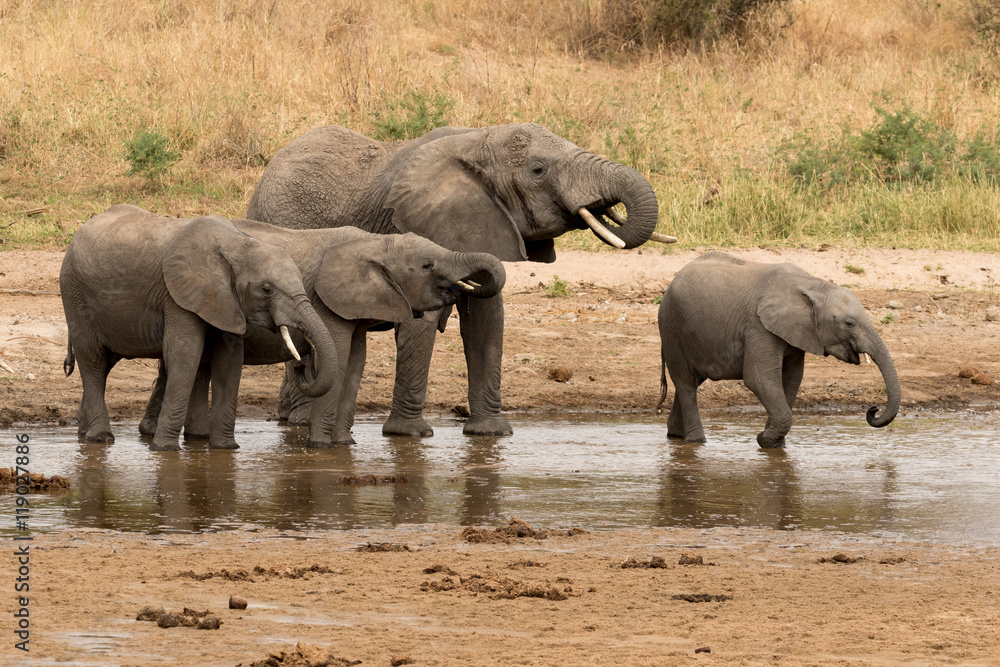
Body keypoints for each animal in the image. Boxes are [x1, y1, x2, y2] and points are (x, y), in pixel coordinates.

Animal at [60, 205, 339, 451]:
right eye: (267, 289)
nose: (302, 367)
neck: (237, 245)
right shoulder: (178, 294)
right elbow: (185, 354)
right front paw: (164, 450)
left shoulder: (225, 300)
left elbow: (229, 360)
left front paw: (225, 448)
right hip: (75, 295)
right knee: (93, 360)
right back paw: (100, 438)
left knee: (104, 364)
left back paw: (84, 434)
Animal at [138, 221, 506, 448]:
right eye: (428, 265)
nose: (304, 365)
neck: (377, 242)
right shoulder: (329, 303)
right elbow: (341, 359)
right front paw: (321, 447)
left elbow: (355, 364)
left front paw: (345, 444)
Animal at [246, 122, 662, 437]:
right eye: (538, 170)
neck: (479, 141)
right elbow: (422, 324)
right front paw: (411, 436)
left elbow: (487, 322)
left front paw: (492, 434)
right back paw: (300, 420)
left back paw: (288, 418)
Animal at [656, 251, 900, 448]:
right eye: (849, 323)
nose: (873, 409)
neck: (813, 285)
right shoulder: (759, 327)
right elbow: (759, 379)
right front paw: (764, 440)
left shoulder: (797, 332)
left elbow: (791, 379)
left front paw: (774, 444)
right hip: (672, 328)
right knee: (686, 382)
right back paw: (696, 441)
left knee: (692, 381)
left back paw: (676, 435)